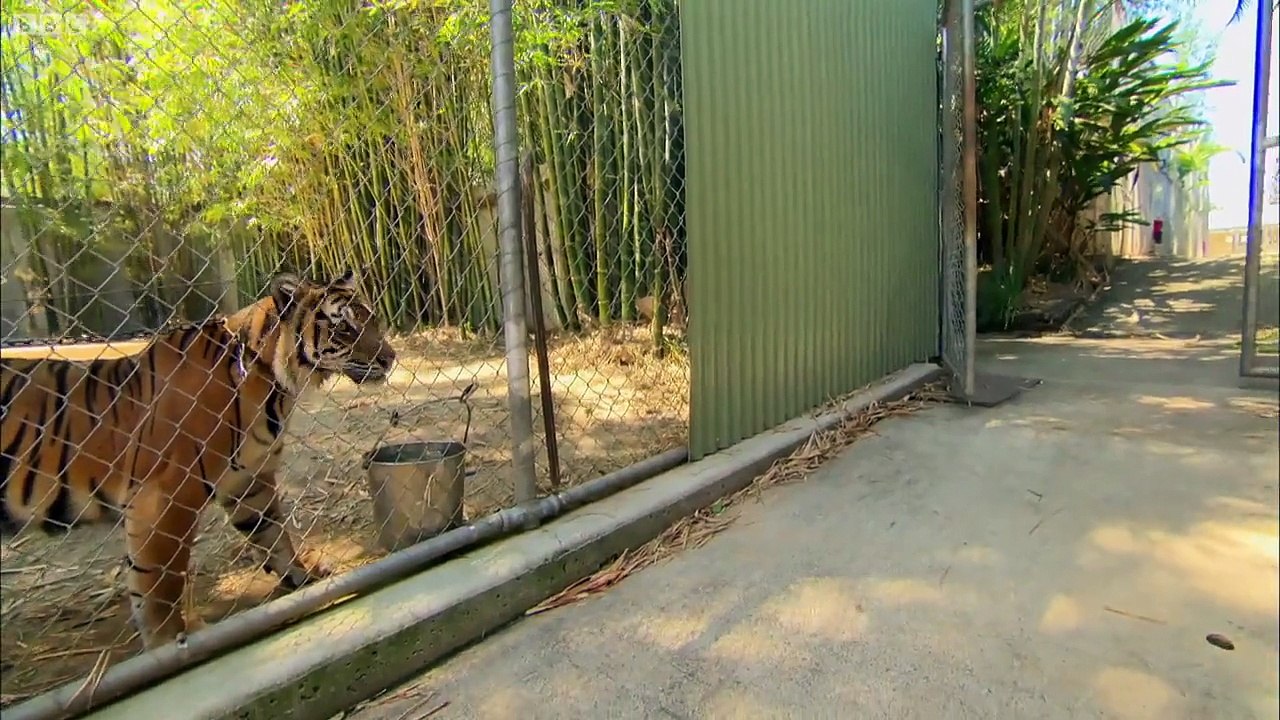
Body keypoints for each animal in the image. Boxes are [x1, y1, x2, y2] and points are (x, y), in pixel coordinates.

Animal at [0, 270, 396, 650]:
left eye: (372, 319)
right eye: (345, 328)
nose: (390, 358)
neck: (272, 382)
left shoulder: (248, 481)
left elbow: (273, 533)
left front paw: (302, 575)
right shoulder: (168, 495)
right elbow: (158, 580)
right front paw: (167, 641)